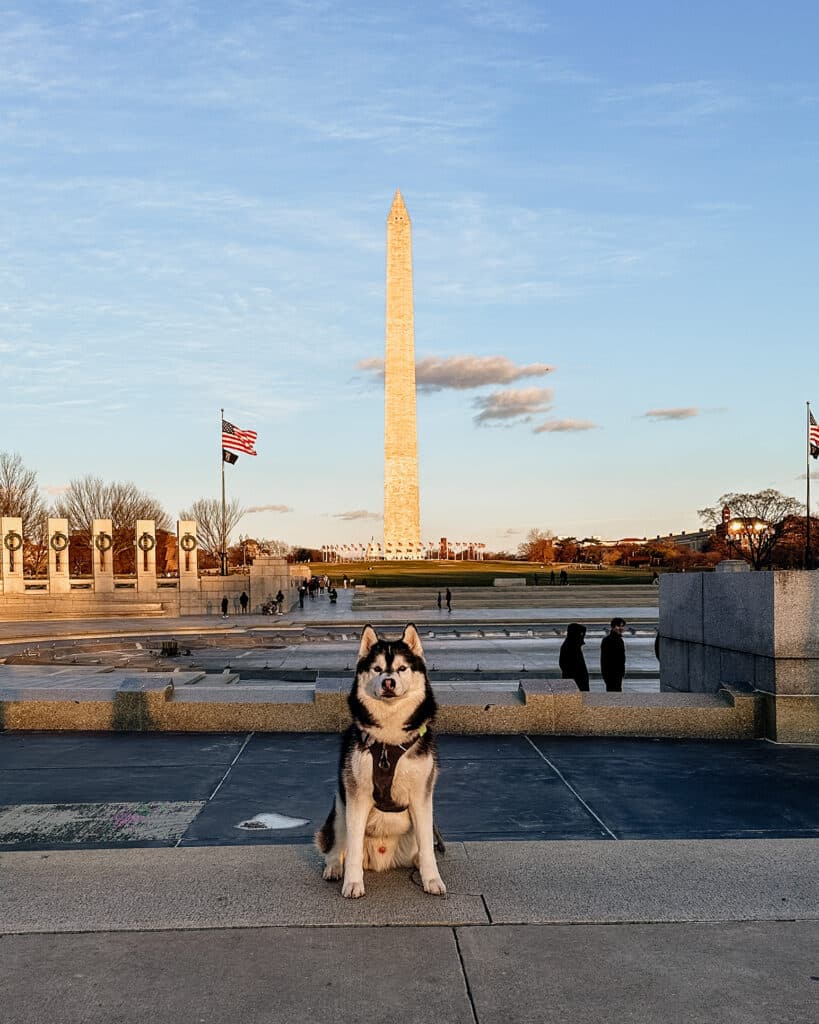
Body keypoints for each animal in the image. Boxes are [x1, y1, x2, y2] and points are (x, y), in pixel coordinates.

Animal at [315, 622, 448, 897]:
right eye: (377, 669)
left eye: (401, 668)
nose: (388, 682)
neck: (389, 738)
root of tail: (381, 859)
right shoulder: (356, 796)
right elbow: (353, 847)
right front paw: (353, 882)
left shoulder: (421, 796)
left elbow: (427, 847)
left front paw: (432, 879)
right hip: (340, 809)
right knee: (337, 847)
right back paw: (334, 867)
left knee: (421, 847)